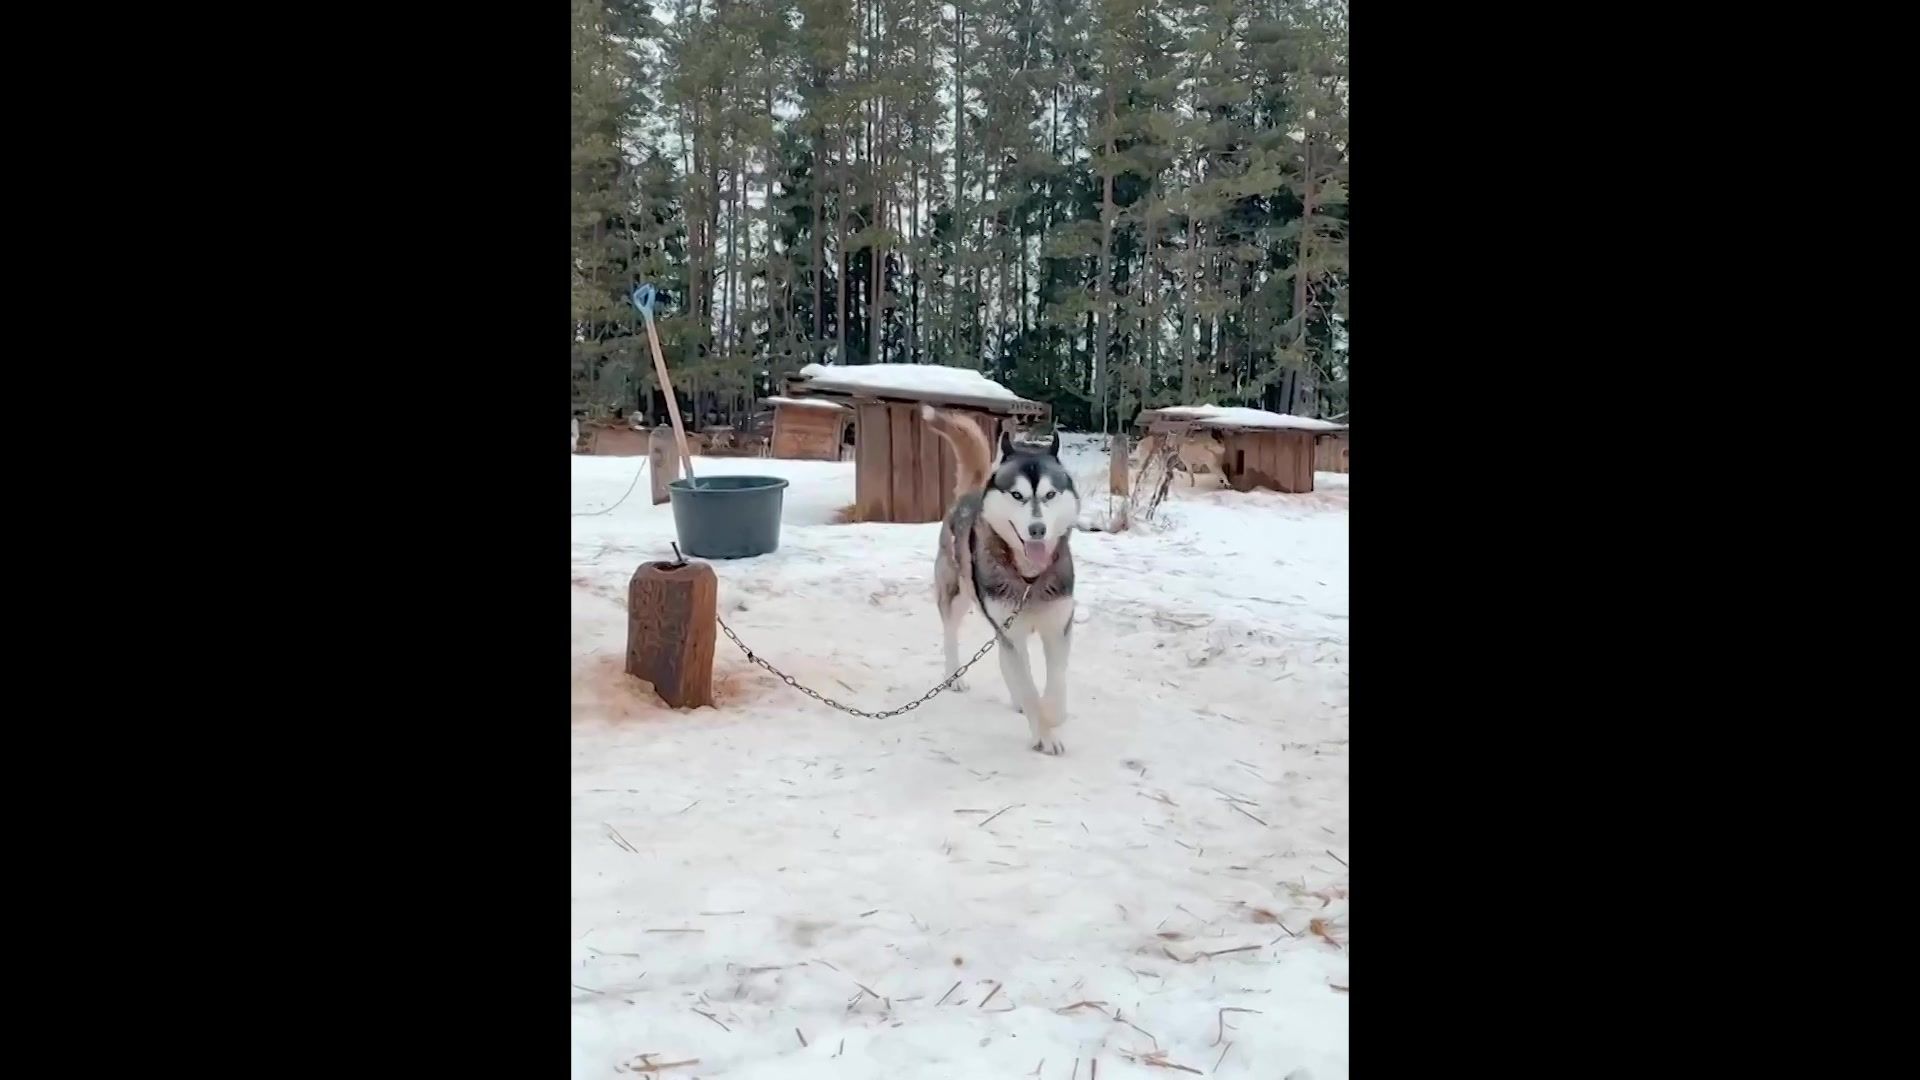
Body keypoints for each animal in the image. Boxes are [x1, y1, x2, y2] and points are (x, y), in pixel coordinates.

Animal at [925, 407, 1090, 753]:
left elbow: (1056, 680)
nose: (1038, 529)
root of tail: (971, 493)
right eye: (1017, 495)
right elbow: (1028, 686)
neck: (1029, 578)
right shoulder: (1010, 630)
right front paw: (1044, 733)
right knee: (951, 633)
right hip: (957, 595)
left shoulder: (1058, 626)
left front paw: (1052, 714)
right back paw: (954, 676)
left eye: (1050, 494)